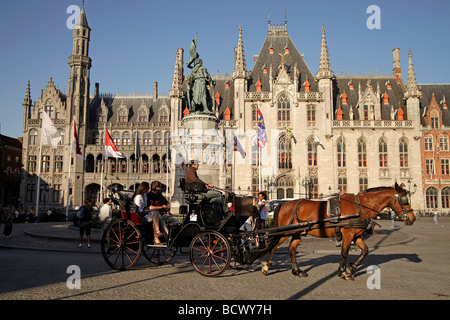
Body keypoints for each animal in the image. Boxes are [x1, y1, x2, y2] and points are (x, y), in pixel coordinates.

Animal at [262, 184, 416, 278]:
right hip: (285, 232)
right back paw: (266, 267)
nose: (413, 218)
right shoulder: (347, 234)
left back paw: (298, 271)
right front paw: (343, 272)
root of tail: (284, 204)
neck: (360, 207)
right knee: (273, 246)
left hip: (297, 233)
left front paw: (352, 268)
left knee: (291, 249)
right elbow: (344, 252)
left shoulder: (356, 235)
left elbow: (365, 250)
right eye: (404, 199)